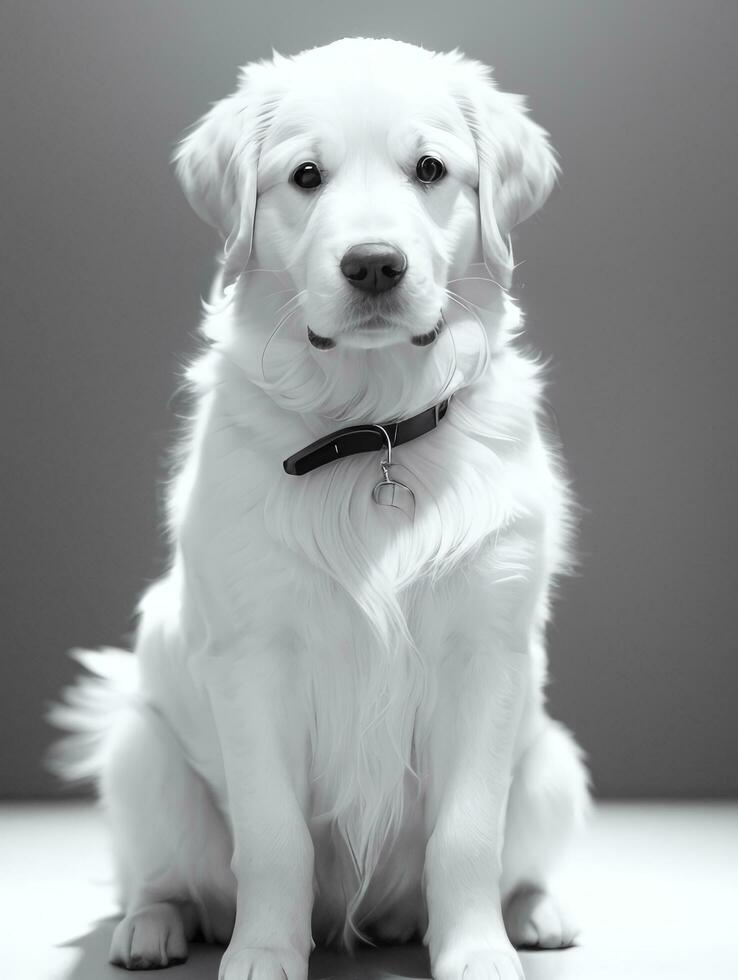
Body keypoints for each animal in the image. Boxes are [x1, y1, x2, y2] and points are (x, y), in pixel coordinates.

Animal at [50, 36, 588, 980]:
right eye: (305, 175)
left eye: (430, 169)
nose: (374, 263)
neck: (371, 431)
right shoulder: (254, 657)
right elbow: (273, 838)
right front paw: (264, 953)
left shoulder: (485, 654)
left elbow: (468, 835)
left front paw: (477, 953)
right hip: (139, 751)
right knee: (161, 877)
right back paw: (152, 927)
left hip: (553, 764)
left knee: (517, 854)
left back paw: (534, 912)